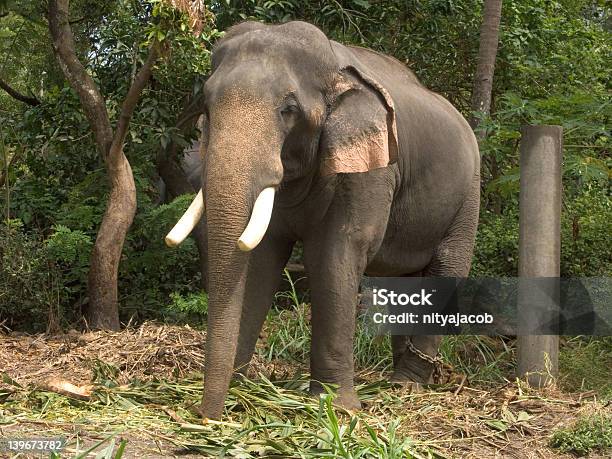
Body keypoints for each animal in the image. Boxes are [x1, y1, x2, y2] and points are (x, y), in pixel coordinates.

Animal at [166, 20, 478, 420]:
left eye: (289, 109)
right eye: (206, 104)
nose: (204, 415)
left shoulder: (370, 169)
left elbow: (338, 252)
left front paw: (335, 407)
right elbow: (261, 258)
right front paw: (239, 388)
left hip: (468, 196)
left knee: (447, 266)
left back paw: (408, 384)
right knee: (404, 280)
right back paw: (396, 381)